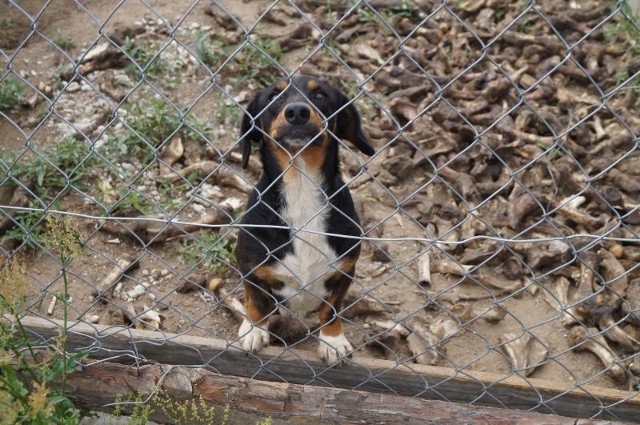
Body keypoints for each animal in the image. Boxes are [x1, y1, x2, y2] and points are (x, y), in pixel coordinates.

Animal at [235, 74, 376, 362]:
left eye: (320, 95)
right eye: (274, 96)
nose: (297, 112)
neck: (300, 187)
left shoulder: (345, 271)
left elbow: (331, 310)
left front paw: (333, 341)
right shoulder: (250, 268)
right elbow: (257, 303)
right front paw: (254, 330)